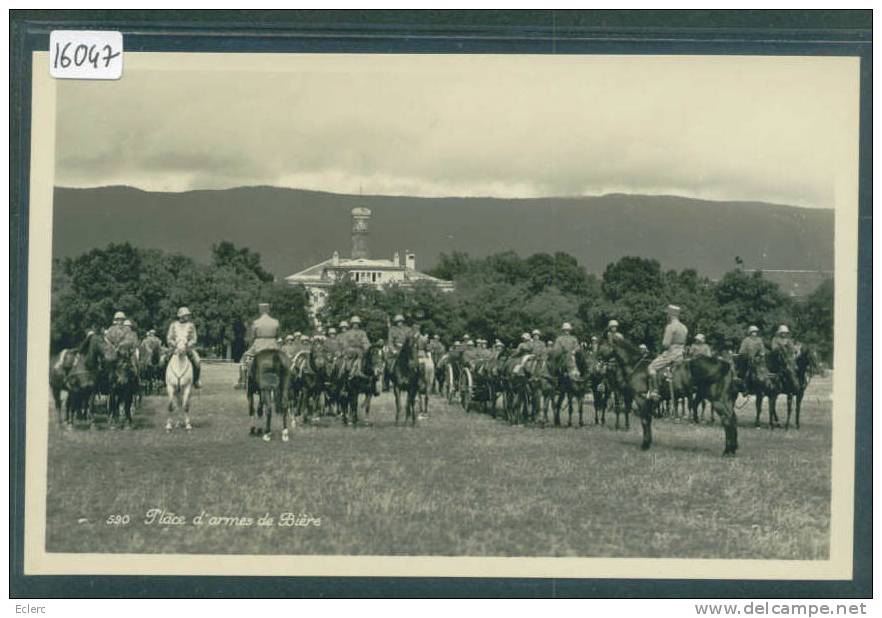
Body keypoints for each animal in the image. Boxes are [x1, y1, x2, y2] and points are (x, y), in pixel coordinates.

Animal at [604, 336, 736, 452]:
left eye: (601, 343)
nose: (600, 363)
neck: (636, 366)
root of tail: (725, 365)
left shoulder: (641, 399)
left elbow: (645, 421)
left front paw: (645, 445)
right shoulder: (649, 402)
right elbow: (648, 420)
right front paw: (648, 442)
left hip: (717, 400)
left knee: (727, 419)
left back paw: (728, 450)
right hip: (725, 400)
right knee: (732, 417)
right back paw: (732, 449)